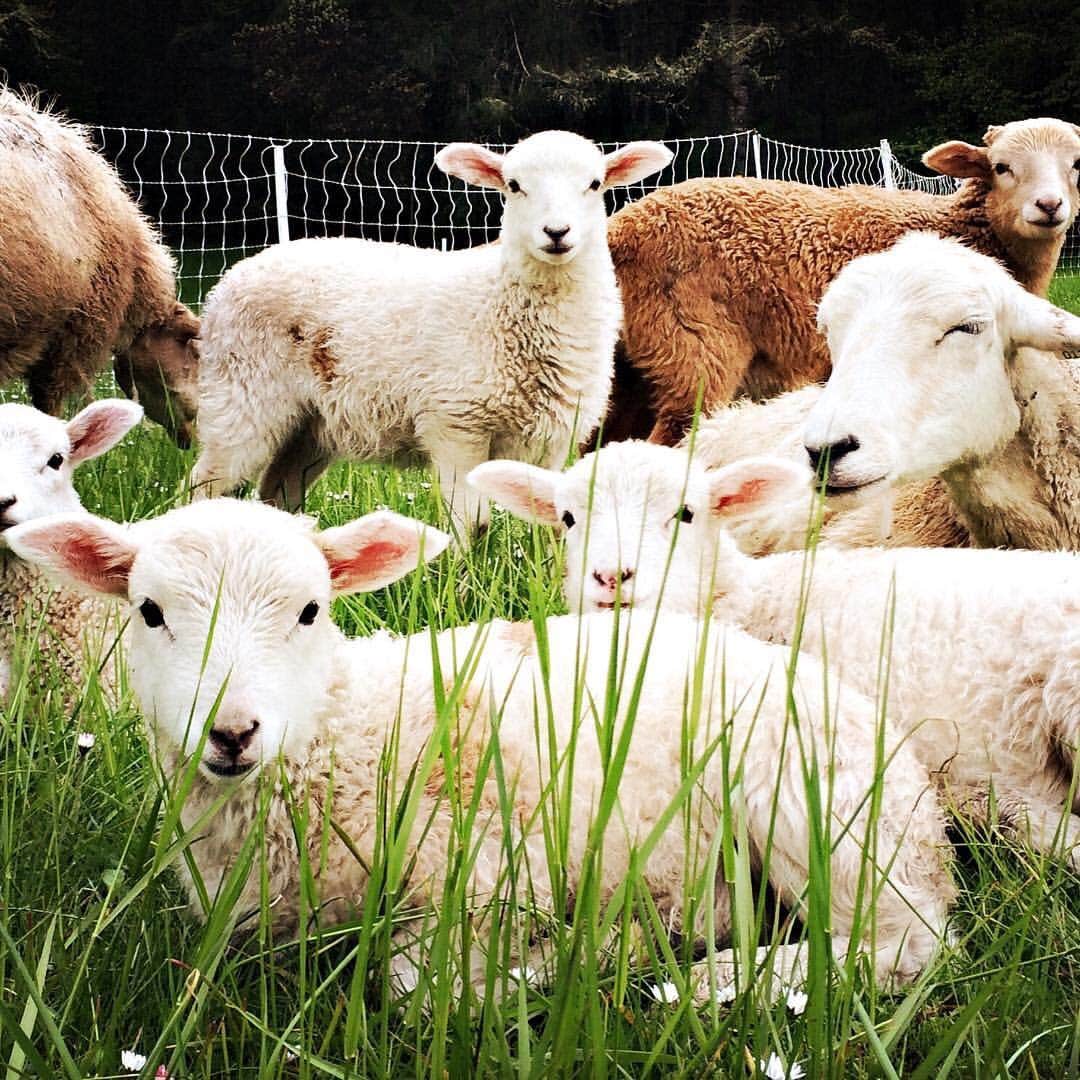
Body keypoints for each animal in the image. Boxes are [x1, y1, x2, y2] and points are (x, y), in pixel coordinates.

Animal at [7, 497, 954, 999]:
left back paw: (715, 981)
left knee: (906, 942)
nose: (233, 732)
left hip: (814, 805)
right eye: (149, 612)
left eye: (311, 611)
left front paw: (540, 971)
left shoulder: (498, 863)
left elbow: (411, 988)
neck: (348, 732)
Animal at [190, 131, 673, 536]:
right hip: (242, 398)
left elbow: (548, 517)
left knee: (278, 489)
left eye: (594, 184)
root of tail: (234, 274)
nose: (557, 233)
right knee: (207, 483)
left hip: (311, 424)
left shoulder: (555, 435)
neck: (498, 302)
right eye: (514, 185)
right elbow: (473, 523)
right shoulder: (456, 424)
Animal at [603, 117, 1080, 444]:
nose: (1049, 205)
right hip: (691, 346)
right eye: (1001, 167)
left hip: (630, 365)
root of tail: (619, 228)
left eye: (1076, 164)